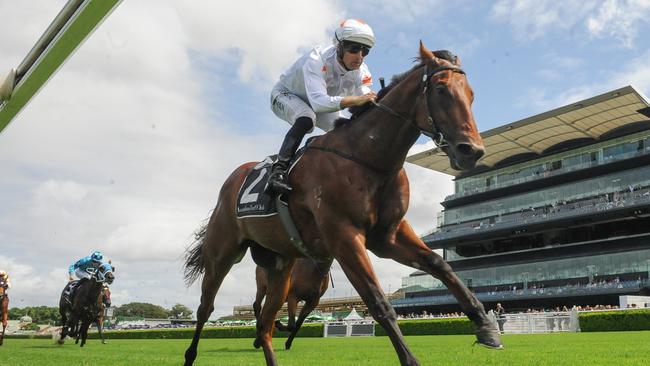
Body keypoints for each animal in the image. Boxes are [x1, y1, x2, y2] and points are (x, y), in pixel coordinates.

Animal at [184, 41, 502, 364]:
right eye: (440, 89)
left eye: (471, 93)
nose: (472, 151)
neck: (368, 159)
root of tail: (232, 181)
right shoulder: (344, 237)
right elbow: (379, 302)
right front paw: (410, 359)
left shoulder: (387, 236)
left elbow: (440, 264)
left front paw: (485, 325)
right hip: (221, 254)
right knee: (206, 307)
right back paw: (190, 354)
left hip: (280, 264)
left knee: (265, 324)